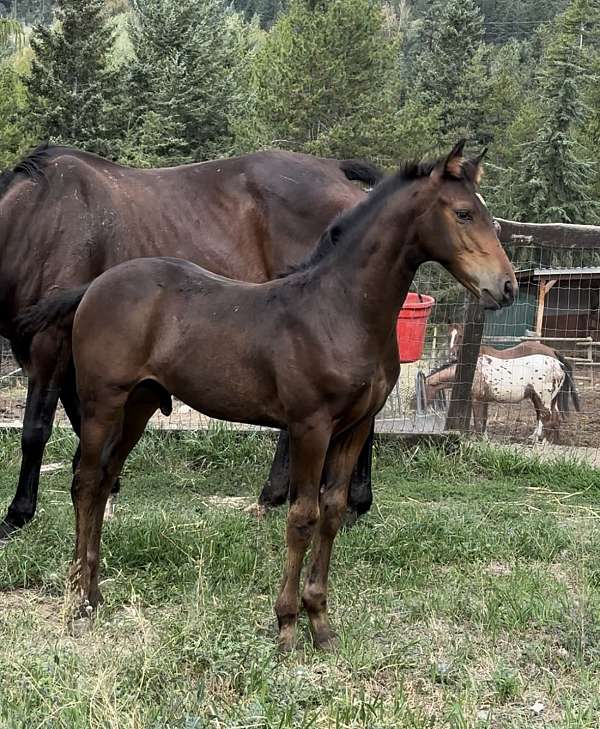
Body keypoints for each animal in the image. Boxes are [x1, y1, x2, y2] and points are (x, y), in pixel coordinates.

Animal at [0, 144, 382, 540]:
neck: (38, 220)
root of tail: (335, 170)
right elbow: (81, 421)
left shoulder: (50, 343)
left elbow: (36, 430)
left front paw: (17, 514)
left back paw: (346, 502)